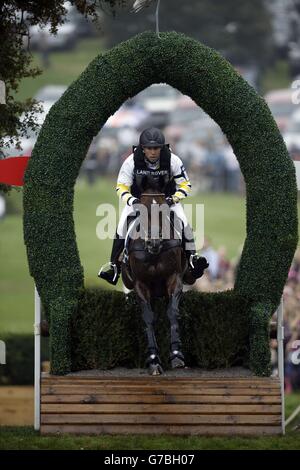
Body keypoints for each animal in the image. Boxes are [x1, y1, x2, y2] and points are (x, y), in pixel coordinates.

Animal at [121, 187, 195, 374]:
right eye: (141, 212)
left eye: (163, 212)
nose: (153, 242)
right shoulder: (140, 284)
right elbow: (148, 317)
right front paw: (154, 360)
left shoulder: (174, 278)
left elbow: (172, 312)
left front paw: (176, 355)